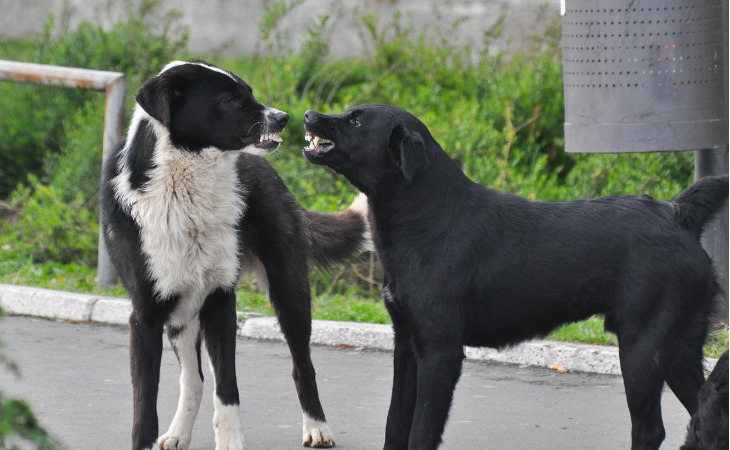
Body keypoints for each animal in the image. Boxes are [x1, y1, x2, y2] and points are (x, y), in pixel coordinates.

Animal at [98, 60, 370, 450]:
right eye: (229, 99)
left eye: (248, 93)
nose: (284, 117)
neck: (186, 186)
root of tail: (267, 169)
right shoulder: (146, 316)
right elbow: (145, 402)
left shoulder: (220, 300)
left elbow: (227, 388)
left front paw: (230, 442)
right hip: (181, 315)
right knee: (192, 380)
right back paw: (178, 434)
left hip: (289, 291)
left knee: (302, 366)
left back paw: (317, 428)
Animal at [302, 104, 728, 450]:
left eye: (357, 121)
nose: (308, 115)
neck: (427, 217)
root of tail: (678, 213)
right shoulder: (406, 345)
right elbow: (395, 424)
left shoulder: (439, 353)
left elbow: (421, 431)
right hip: (678, 351)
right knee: (703, 415)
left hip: (643, 350)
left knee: (651, 429)